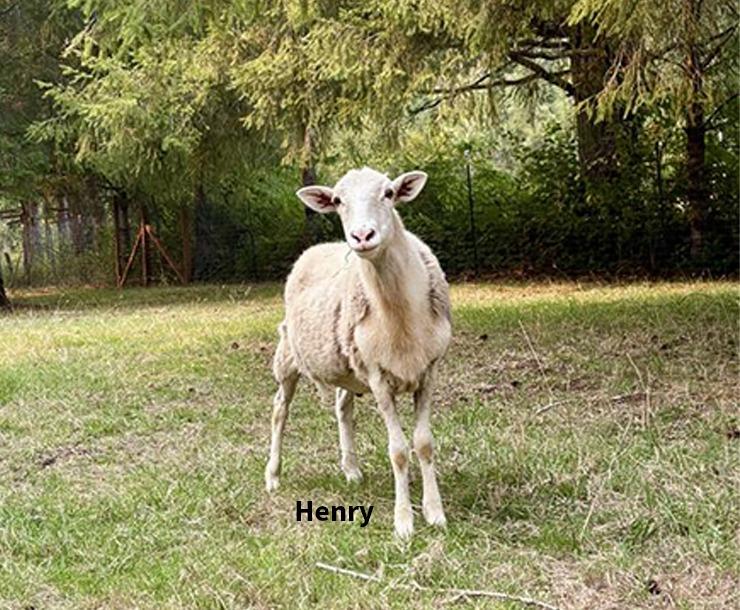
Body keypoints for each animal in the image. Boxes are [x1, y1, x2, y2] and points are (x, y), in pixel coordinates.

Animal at [264, 167, 451, 538]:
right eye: (338, 200)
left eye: (389, 193)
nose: (362, 236)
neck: (400, 316)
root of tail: (319, 247)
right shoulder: (379, 377)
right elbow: (398, 451)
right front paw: (404, 522)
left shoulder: (428, 370)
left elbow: (424, 443)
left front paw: (435, 512)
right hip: (288, 355)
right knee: (280, 410)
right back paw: (273, 474)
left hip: (345, 362)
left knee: (342, 407)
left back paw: (351, 469)